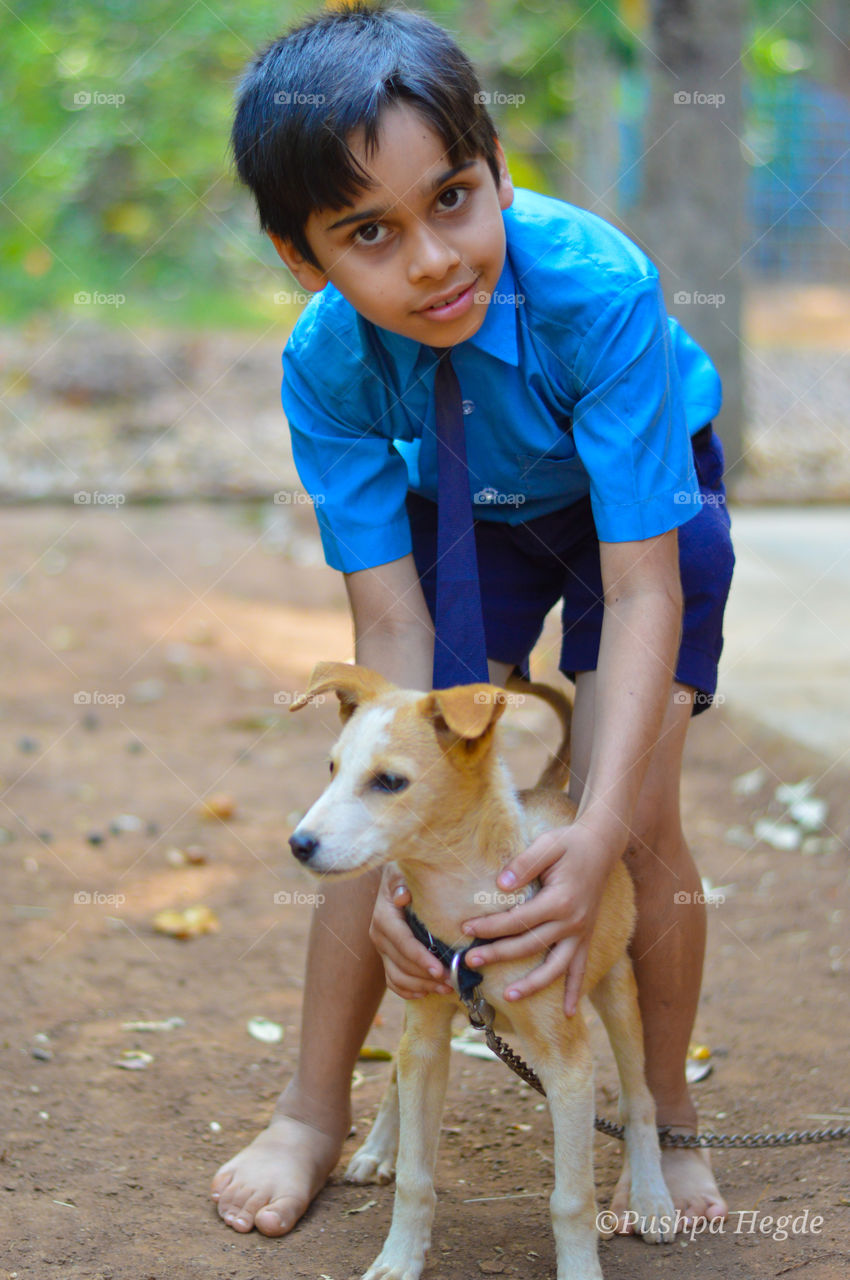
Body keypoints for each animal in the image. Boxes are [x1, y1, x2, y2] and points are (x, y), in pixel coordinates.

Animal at [289, 665, 675, 1274]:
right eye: (331, 769)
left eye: (389, 782)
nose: (298, 844)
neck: (464, 918)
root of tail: (550, 794)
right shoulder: (425, 1036)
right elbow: (416, 1176)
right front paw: (399, 1259)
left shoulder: (569, 1067)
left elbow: (572, 1197)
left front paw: (581, 1270)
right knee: (397, 1076)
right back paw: (377, 1148)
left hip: (617, 990)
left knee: (640, 1099)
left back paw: (654, 1197)